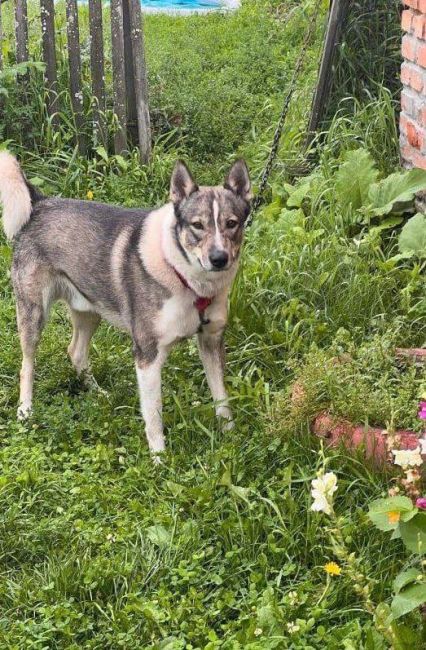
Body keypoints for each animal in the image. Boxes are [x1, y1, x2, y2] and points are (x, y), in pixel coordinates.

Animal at [0, 151, 251, 456]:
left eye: (232, 223)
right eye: (197, 225)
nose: (219, 258)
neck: (188, 280)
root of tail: (40, 203)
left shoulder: (211, 341)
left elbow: (221, 397)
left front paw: (230, 436)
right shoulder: (147, 356)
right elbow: (153, 415)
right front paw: (159, 458)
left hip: (90, 310)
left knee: (76, 351)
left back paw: (98, 393)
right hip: (33, 314)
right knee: (27, 363)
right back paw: (25, 410)